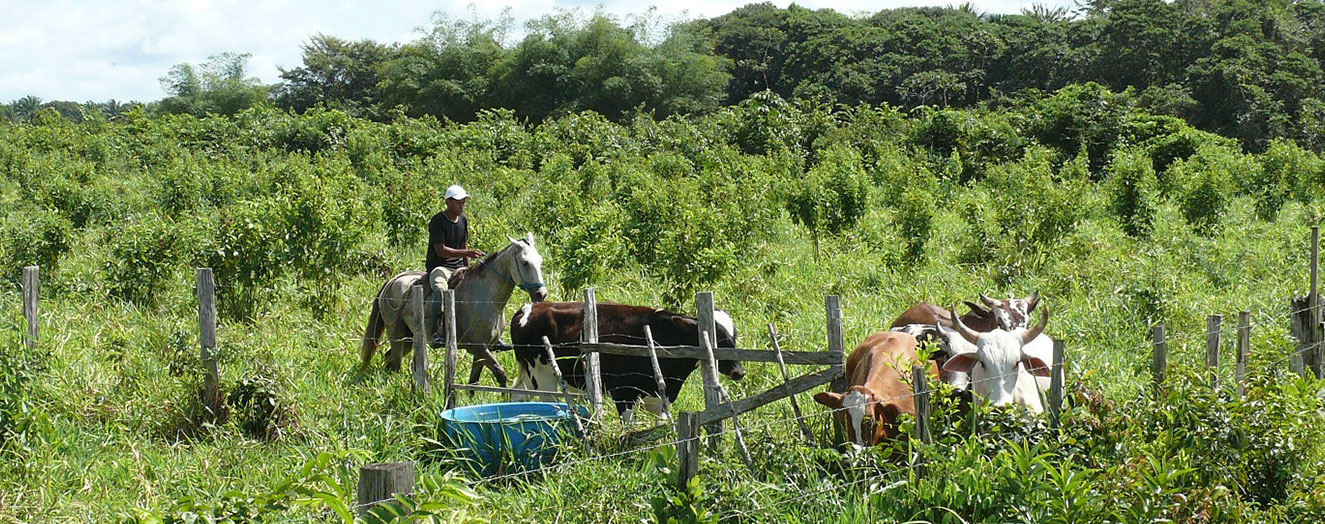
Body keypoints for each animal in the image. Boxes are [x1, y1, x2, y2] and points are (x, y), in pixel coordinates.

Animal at [360, 233, 551, 384]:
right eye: (525, 262)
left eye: (540, 261)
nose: (541, 294)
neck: (486, 298)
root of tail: (393, 281)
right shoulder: (477, 347)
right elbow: (500, 374)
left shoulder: (484, 349)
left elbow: (474, 381)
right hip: (397, 335)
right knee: (394, 363)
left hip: (409, 338)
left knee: (389, 359)